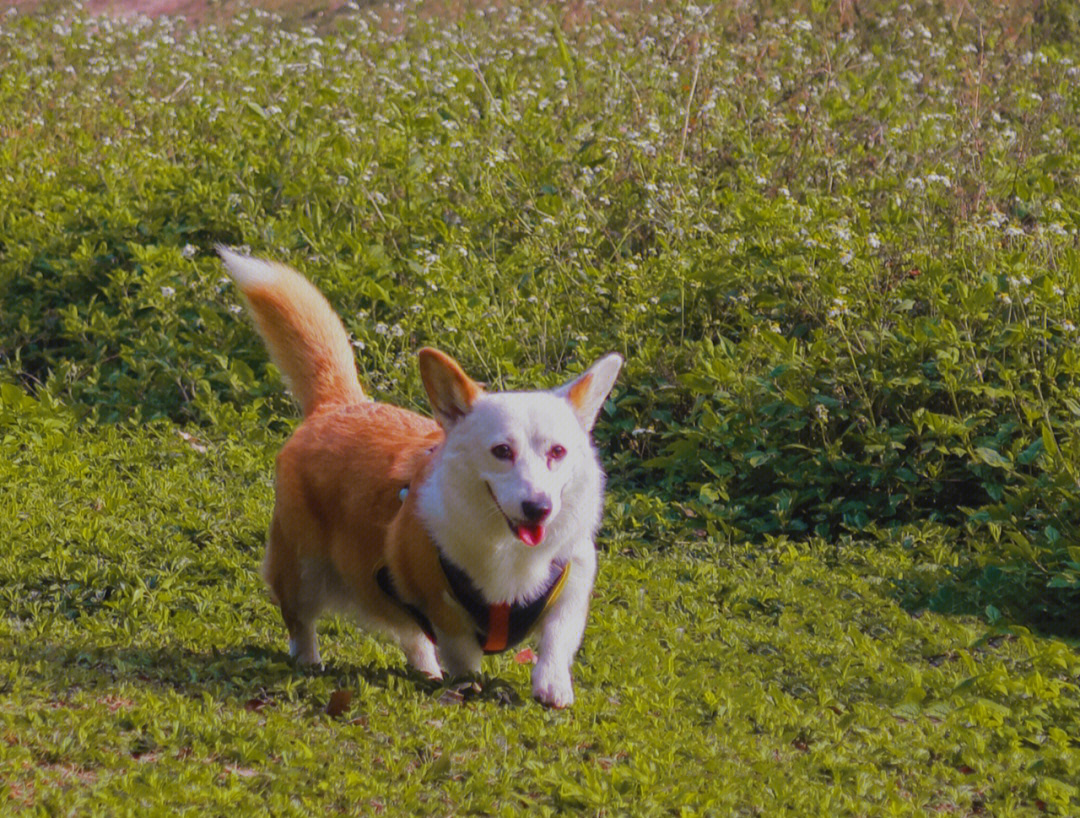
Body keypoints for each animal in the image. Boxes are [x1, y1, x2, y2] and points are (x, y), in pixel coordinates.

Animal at [217, 245, 626, 704]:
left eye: (557, 452)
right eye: (502, 452)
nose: (538, 508)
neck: (508, 551)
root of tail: (339, 404)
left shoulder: (572, 582)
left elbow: (558, 637)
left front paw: (553, 686)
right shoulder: (440, 606)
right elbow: (462, 654)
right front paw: (470, 687)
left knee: (412, 638)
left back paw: (426, 672)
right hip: (303, 570)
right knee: (302, 622)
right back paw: (309, 661)